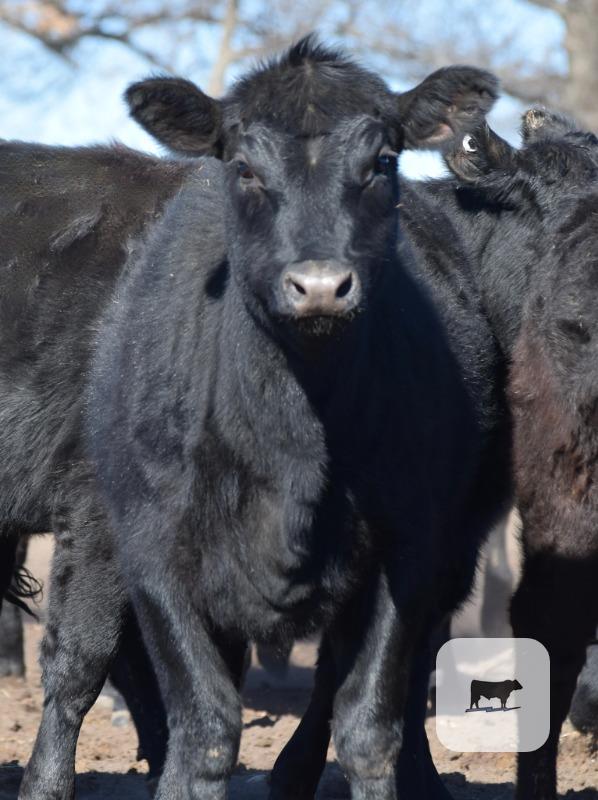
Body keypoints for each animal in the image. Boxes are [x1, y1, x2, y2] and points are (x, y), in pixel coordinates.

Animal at [18, 38, 514, 800]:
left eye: (383, 161)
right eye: (245, 167)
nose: (320, 286)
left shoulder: (409, 549)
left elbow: (368, 725)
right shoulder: (146, 547)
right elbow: (193, 724)